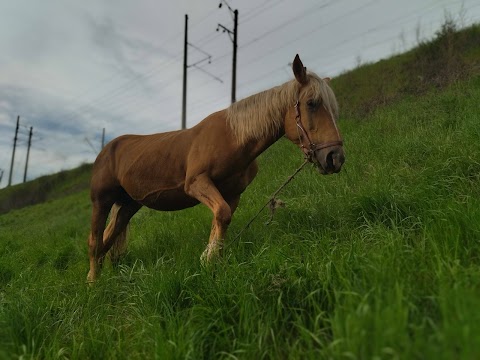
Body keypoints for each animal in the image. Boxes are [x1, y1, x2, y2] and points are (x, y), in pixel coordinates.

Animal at [86, 54, 344, 282]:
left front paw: (211, 260)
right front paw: (208, 259)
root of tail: (106, 150)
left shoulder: (232, 193)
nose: (335, 157)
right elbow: (221, 214)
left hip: (129, 205)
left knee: (107, 239)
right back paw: (93, 284)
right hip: (102, 201)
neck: (233, 136)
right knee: (95, 242)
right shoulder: (197, 183)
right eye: (311, 103)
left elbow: (222, 219)